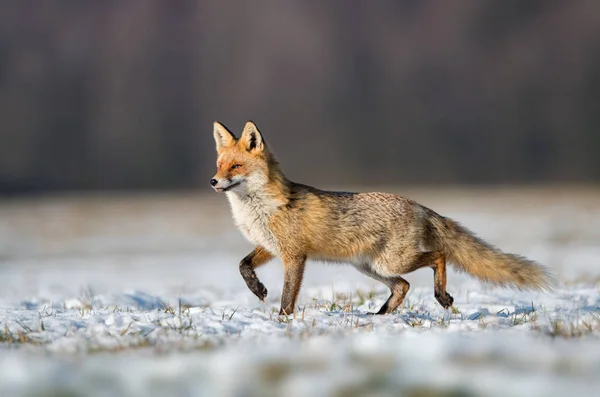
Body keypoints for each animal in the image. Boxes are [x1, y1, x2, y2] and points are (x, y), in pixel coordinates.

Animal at [210, 119, 552, 314]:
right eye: (219, 165)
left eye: (236, 167)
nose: (213, 182)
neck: (259, 209)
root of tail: (420, 206)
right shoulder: (271, 247)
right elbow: (242, 265)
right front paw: (257, 289)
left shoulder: (294, 255)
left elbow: (287, 296)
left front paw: (284, 321)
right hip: (372, 267)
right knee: (403, 286)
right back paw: (381, 315)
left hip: (390, 262)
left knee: (438, 256)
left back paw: (440, 296)